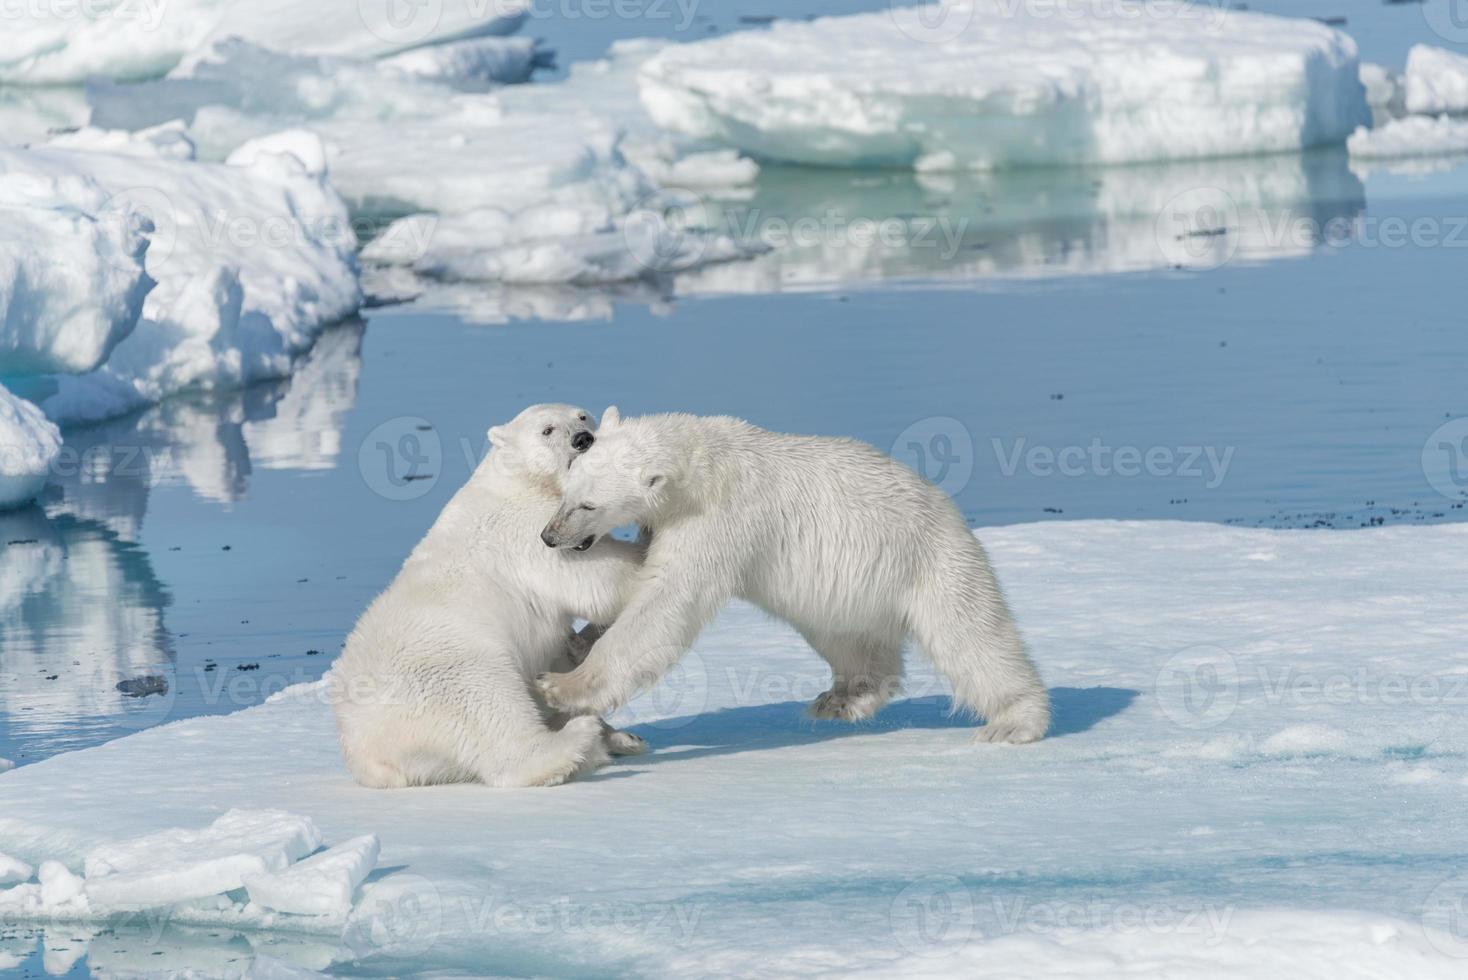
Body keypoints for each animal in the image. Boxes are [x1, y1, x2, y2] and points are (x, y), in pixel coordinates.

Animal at [337, 401, 648, 786]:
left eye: (582, 417)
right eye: (547, 430)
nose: (583, 439)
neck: (520, 480)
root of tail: (365, 753)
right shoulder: (528, 530)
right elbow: (596, 576)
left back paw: (622, 738)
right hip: (450, 669)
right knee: (494, 714)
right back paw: (578, 739)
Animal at [534, 407, 1051, 742]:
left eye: (587, 505)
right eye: (567, 489)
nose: (549, 536)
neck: (701, 464)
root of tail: (950, 512)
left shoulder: (719, 519)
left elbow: (665, 601)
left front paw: (562, 686)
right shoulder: (665, 518)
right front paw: (580, 640)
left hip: (933, 563)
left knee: (972, 637)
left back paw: (1015, 721)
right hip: (848, 592)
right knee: (846, 637)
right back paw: (845, 697)